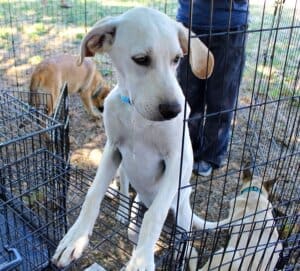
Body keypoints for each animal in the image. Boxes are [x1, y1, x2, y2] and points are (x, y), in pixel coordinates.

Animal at [52, 6, 214, 271]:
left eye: (177, 59)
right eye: (141, 59)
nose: (174, 110)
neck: (137, 115)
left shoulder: (179, 159)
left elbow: (155, 215)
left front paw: (141, 260)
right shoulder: (113, 149)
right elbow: (93, 194)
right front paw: (76, 238)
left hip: (181, 209)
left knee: (185, 241)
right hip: (136, 196)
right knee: (134, 214)